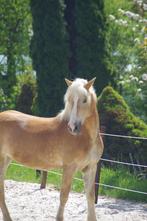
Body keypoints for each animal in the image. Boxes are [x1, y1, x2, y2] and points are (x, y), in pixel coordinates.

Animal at [0, 78, 103, 221]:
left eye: (84, 100)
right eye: (70, 100)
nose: (72, 127)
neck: (87, 137)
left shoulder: (91, 168)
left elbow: (90, 196)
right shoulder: (69, 168)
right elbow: (64, 196)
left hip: (6, 159)